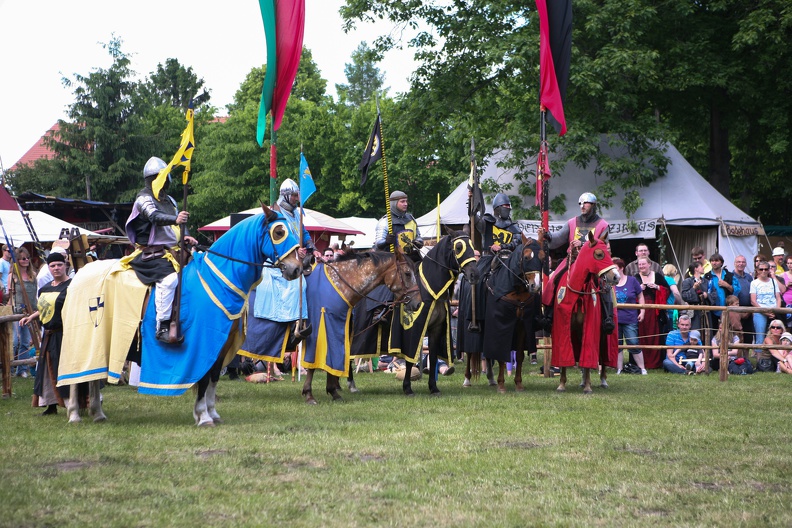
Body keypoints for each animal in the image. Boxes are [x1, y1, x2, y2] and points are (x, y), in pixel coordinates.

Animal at [388, 228, 476, 396]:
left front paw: (433, 387)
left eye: (472, 245)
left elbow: (434, 357)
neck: (429, 289)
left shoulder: (436, 329)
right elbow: (410, 360)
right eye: (459, 247)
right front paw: (407, 387)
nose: (474, 274)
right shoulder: (414, 330)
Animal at [482, 235, 544, 392]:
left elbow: (520, 355)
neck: (516, 289)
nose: (535, 286)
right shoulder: (499, 326)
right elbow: (500, 354)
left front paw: (518, 383)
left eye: (542, 257)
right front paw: (501, 385)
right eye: (526, 257)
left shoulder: (522, 325)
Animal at [540, 231, 620, 392]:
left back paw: (602, 380)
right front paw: (562, 384)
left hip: (604, 335)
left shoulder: (589, 328)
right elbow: (564, 356)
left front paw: (588, 386)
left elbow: (589, 355)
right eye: (599, 254)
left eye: (609, 253)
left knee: (603, 356)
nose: (616, 277)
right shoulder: (563, 328)